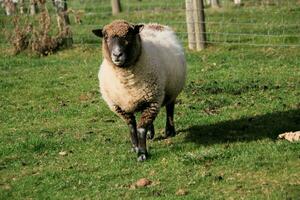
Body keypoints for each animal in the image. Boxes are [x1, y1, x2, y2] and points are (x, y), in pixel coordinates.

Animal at [92, 19, 186, 161]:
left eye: (129, 35)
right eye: (106, 37)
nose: (117, 55)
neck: (126, 79)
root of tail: (153, 24)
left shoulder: (153, 101)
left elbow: (141, 128)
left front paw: (142, 153)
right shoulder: (119, 106)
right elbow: (132, 127)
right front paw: (135, 147)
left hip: (171, 89)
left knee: (170, 109)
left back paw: (170, 131)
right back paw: (150, 133)